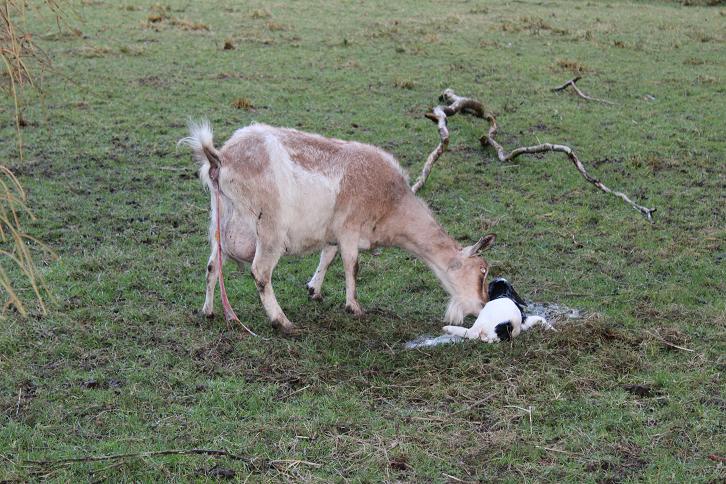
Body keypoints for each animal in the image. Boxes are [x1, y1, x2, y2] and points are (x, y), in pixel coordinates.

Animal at [180, 121, 495, 334]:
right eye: (482, 271)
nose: (483, 305)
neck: (393, 204)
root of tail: (220, 158)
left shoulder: (332, 232)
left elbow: (328, 256)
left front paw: (314, 289)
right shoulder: (349, 229)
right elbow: (352, 266)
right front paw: (354, 307)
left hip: (220, 222)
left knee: (213, 265)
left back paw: (209, 311)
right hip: (269, 228)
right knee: (260, 272)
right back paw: (282, 321)